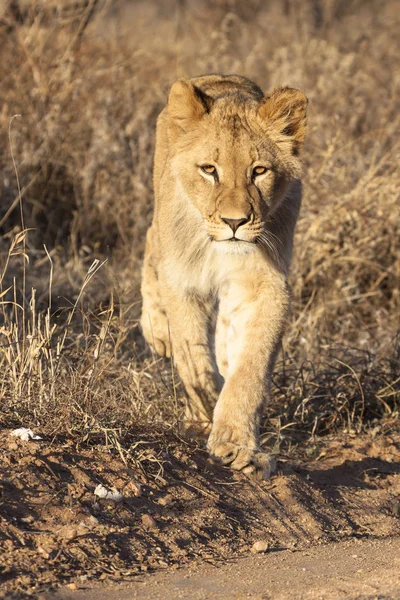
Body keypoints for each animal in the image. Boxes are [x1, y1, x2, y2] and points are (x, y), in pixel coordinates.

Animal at [142, 74, 308, 478]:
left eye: (259, 171)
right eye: (209, 170)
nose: (236, 222)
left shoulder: (263, 284)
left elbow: (250, 368)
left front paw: (236, 443)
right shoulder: (183, 280)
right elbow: (192, 357)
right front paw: (202, 412)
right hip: (162, 221)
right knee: (151, 241)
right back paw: (157, 333)